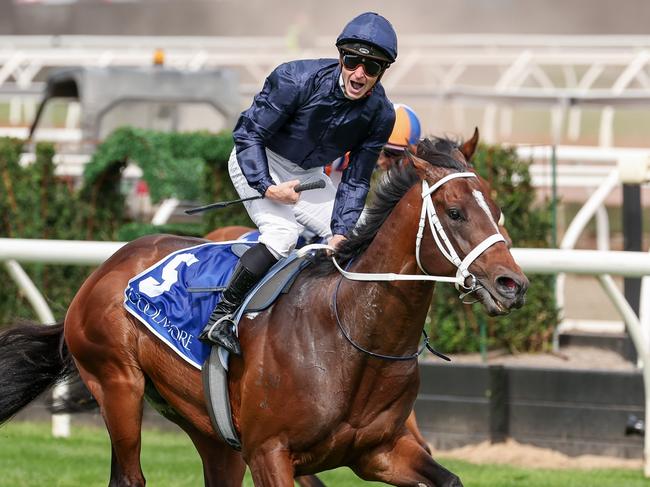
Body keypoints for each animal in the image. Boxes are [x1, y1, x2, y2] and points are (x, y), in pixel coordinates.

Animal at [0, 136, 528, 487]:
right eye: (456, 212)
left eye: (498, 209)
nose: (513, 285)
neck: (352, 337)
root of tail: (105, 269)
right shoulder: (270, 453)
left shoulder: (381, 451)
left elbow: (447, 478)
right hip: (118, 387)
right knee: (129, 477)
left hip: (208, 428)